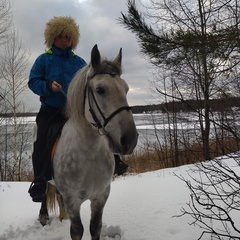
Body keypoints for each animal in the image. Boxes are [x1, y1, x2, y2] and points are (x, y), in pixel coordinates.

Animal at [37, 43, 139, 240]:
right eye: (100, 90)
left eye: (126, 89)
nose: (129, 140)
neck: (89, 154)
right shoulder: (73, 200)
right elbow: (77, 230)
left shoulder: (101, 196)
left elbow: (95, 227)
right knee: (44, 194)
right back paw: (44, 217)